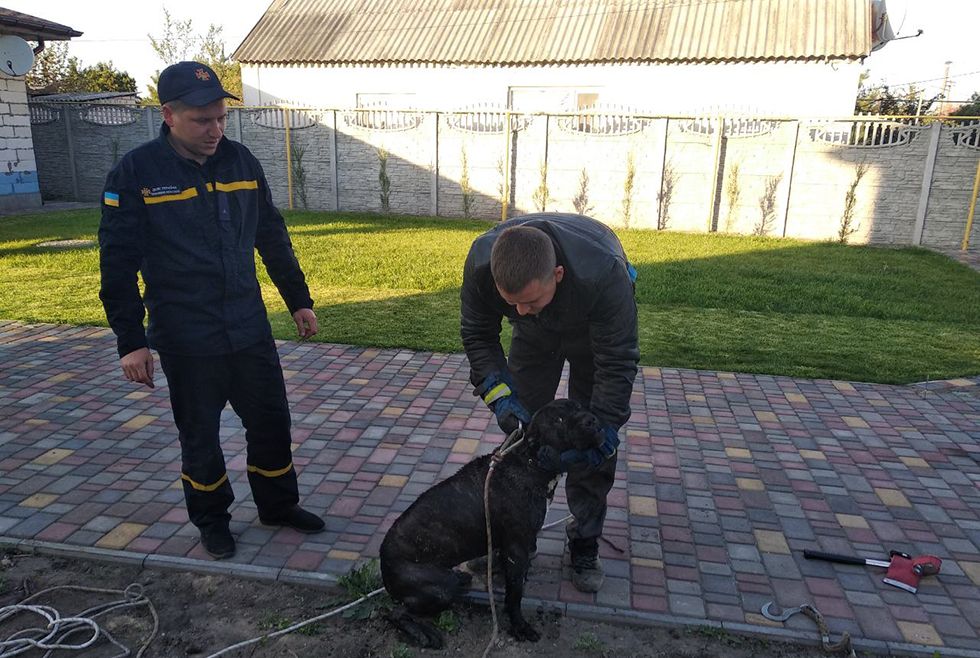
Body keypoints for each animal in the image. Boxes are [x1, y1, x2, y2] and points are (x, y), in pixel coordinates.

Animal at [378, 398, 600, 644]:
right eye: (559, 420)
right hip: (439, 589)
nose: (593, 420)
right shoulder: (517, 548)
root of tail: (383, 560)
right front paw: (519, 626)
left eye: (580, 407)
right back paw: (423, 633)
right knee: (394, 612)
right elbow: (515, 593)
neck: (530, 461)